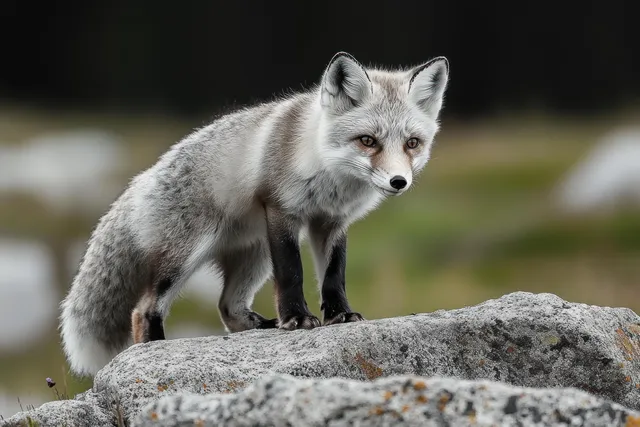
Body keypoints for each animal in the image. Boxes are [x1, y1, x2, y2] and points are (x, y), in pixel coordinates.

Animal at [60, 51, 450, 376]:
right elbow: (292, 273)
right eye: (368, 141)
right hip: (189, 255)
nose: (398, 181)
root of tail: (142, 179)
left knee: (228, 309)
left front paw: (340, 315)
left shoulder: (331, 222)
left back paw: (262, 326)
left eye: (412, 143)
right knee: (144, 310)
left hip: (256, 256)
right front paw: (296, 318)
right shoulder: (281, 211)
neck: (329, 174)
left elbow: (333, 276)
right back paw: (154, 349)